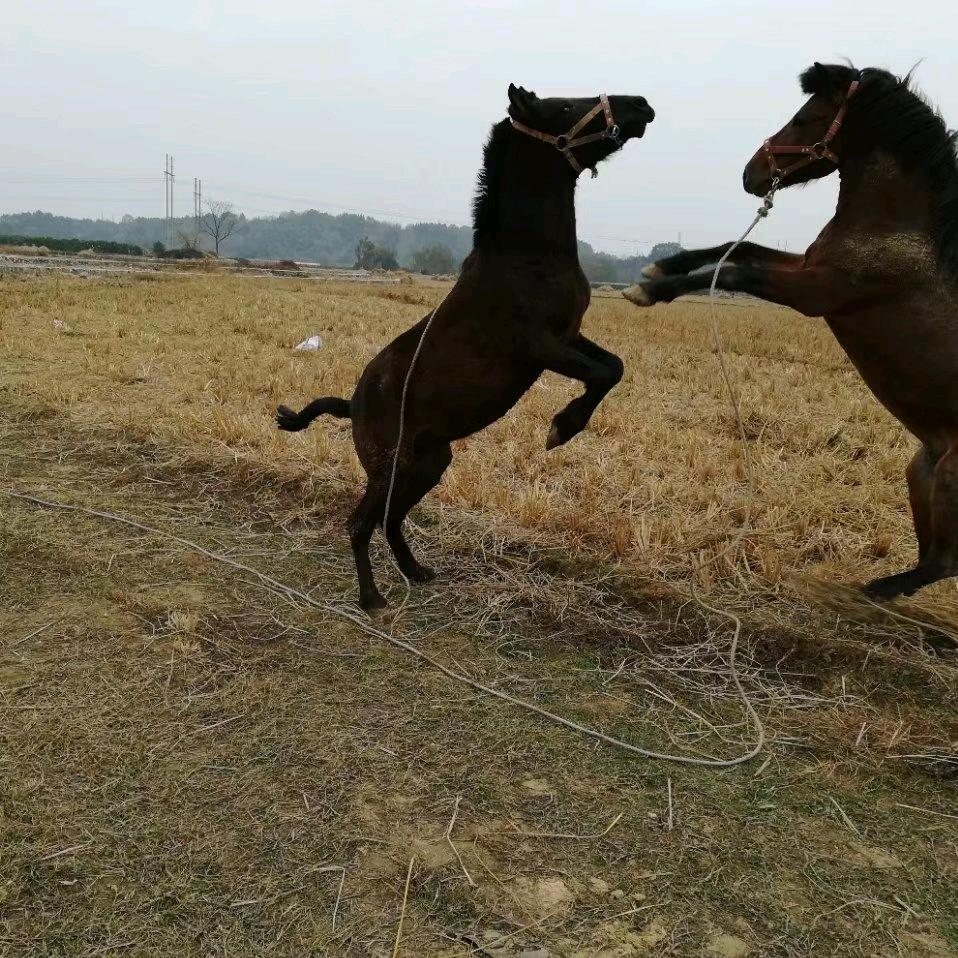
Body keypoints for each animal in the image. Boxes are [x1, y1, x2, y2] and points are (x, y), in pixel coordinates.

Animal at [278, 85, 655, 612]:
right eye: (563, 106)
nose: (641, 105)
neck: (526, 254)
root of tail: (352, 405)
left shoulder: (569, 337)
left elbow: (614, 367)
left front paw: (565, 424)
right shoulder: (539, 346)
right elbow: (602, 375)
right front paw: (560, 429)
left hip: (429, 465)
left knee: (390, 520)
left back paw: (416, 571)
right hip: (389, 466)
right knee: (360, 523)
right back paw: (372, 597)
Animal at [623, 63, 958, 601]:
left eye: (804, 118)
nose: (750, 174)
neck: (896, 231)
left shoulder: (814, 292)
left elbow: (735, 271)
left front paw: (651, 290)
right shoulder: (804, 266)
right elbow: (739, 248)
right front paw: (659, 268)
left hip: (951, 478)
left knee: (943, 563)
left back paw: (878, 591)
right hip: (922, 470)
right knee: (937, 558)